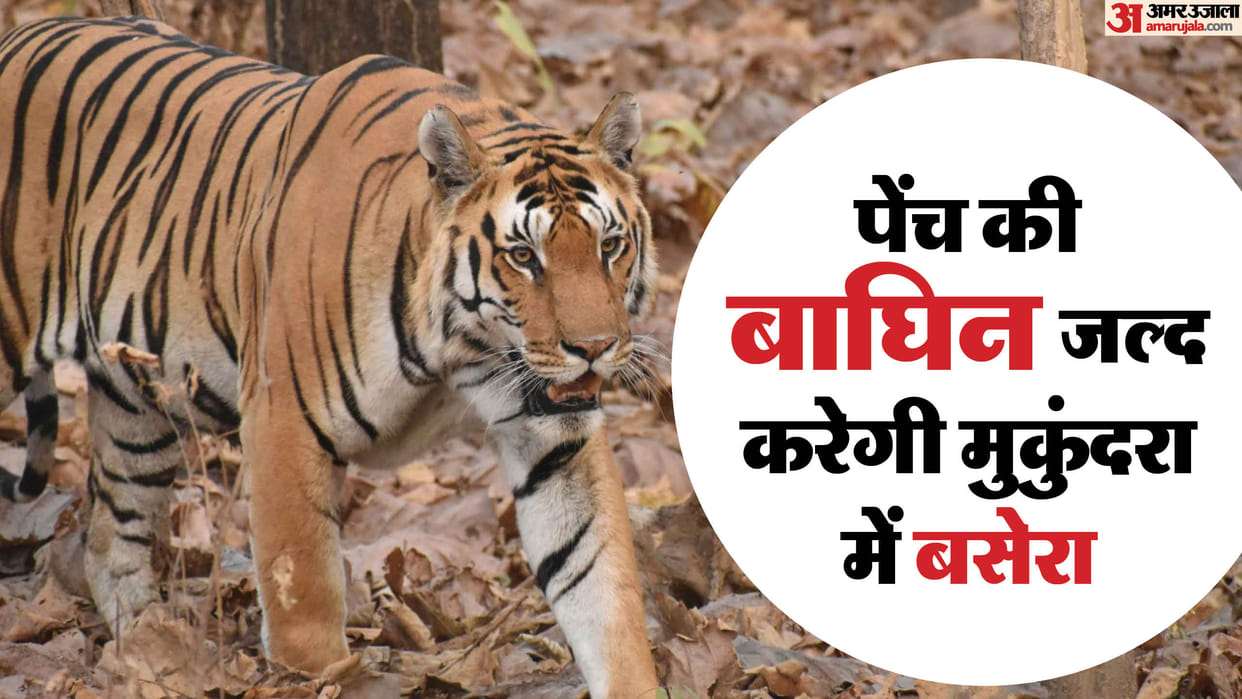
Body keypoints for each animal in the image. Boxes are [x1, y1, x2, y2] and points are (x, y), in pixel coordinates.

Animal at [0, 15, 661, 697]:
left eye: (610, 246)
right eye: (524, 256)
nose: (593, 349)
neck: (462, 348)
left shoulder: (553, 435)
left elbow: (599, 577)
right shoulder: (285, 419)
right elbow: (304, 585)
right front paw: (318, 675)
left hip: (138, 409)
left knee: (110, 537)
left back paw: (145, 649)